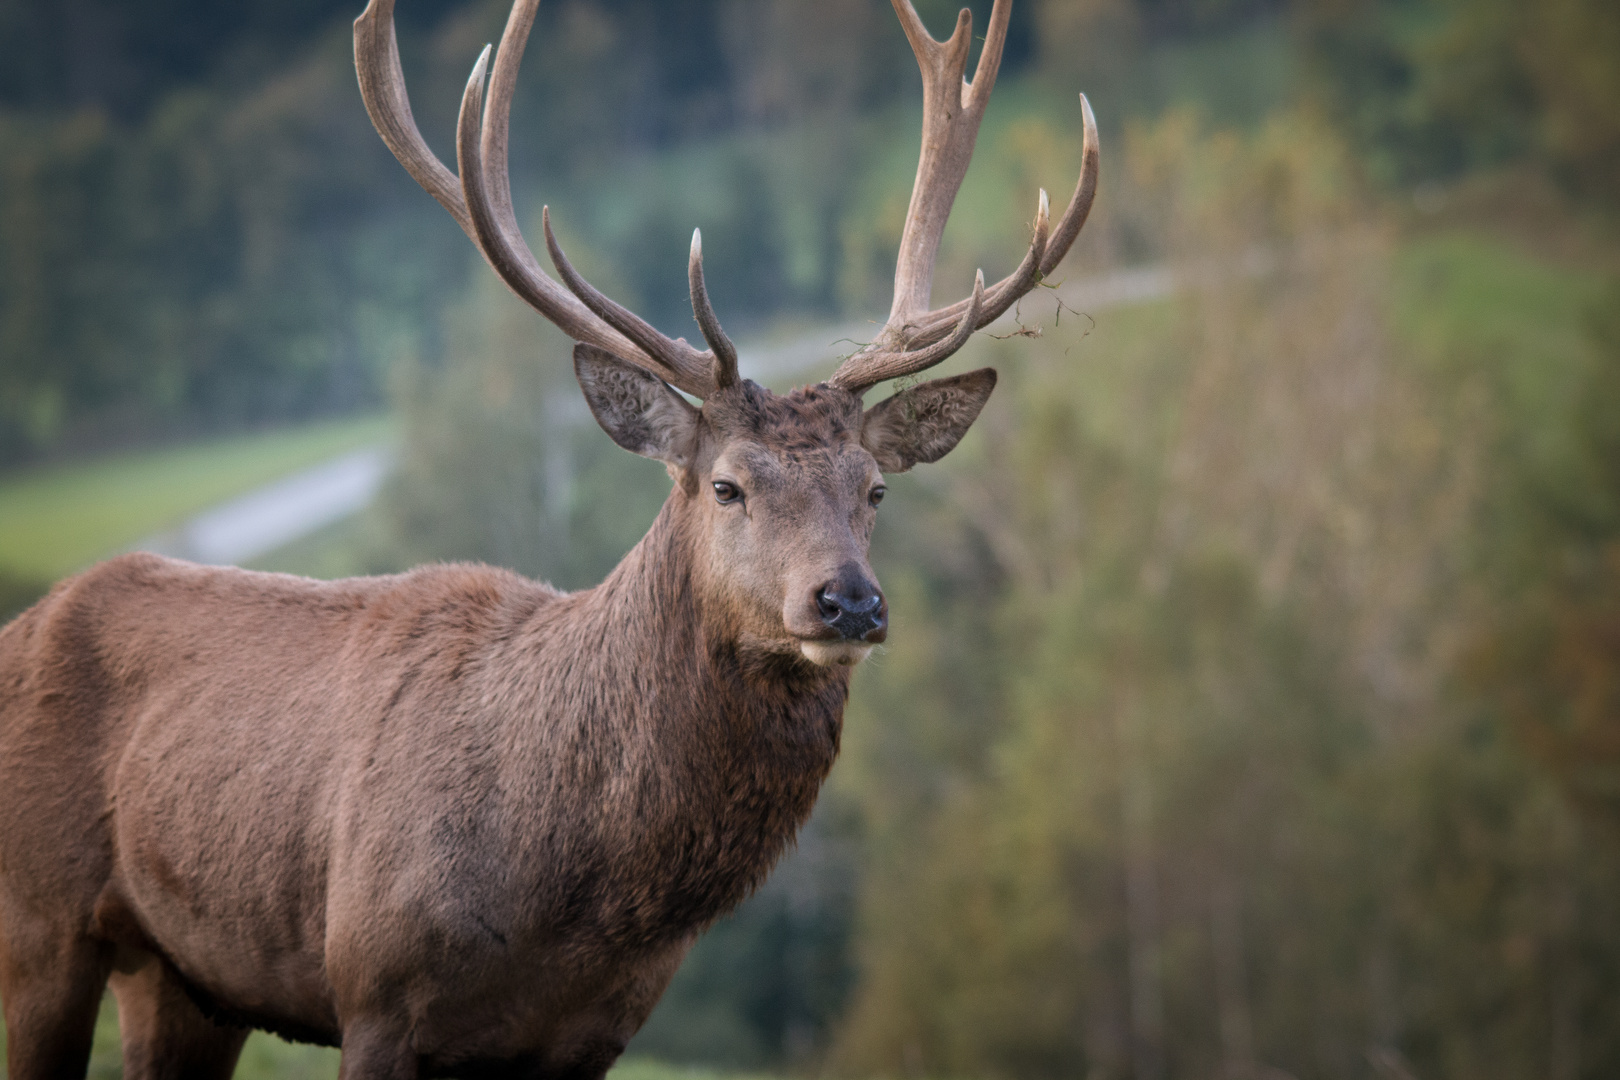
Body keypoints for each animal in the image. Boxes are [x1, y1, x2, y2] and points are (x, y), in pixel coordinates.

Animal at [0, 0, 1101, 1075]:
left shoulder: (597, 1032)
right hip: (40, 923)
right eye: (728, 486)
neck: (565, 907)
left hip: (186, 975)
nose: (849, 600)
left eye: (874, 489)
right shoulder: (373, 989)